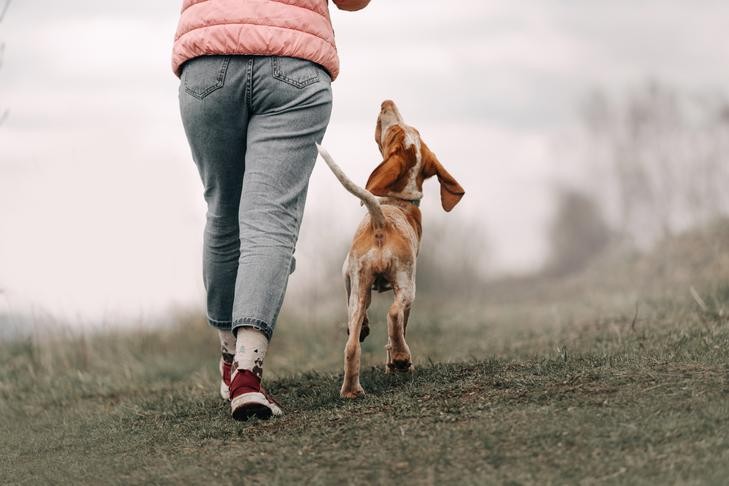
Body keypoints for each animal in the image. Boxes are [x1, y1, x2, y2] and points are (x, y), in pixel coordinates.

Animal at [316, 99, 464, 398]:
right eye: (397, 130)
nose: (387, 102)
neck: (395, 202)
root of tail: (381, 223)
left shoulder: (349, 276)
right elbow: (400, 325)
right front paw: (394, 361)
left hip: (363, 287)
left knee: (352, 346)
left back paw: (353, 390)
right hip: (407, 284)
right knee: (394, 314)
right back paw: (401, 358)